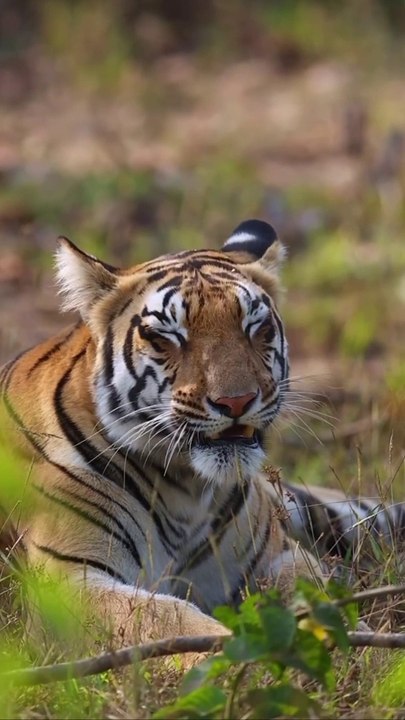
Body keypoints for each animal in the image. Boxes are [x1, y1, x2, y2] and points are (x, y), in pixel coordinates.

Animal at [0, 219, 403, 655]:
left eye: (257, 328)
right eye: (165, 338)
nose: (236, 401)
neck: (185, 490)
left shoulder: (274, 557)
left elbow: (319, 594)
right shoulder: (69, 582)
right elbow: (169, 620)